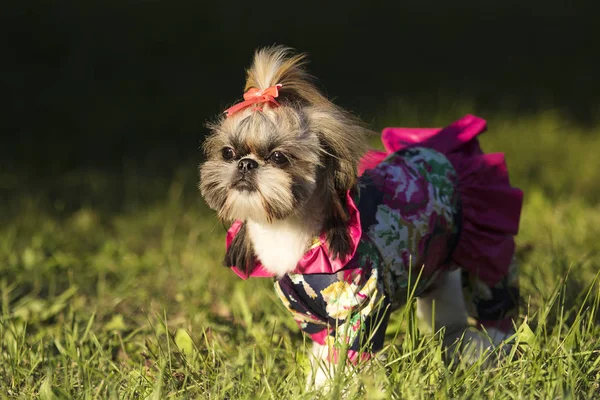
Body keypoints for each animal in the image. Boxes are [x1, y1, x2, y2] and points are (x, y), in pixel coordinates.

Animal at [199, 46, 524, 388]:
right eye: (228, 153)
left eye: (278, 157)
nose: (246, 163)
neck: (295, 236)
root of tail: (442, 150)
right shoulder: (313, 319)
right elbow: (323, 354)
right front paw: (315, 386)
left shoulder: (361, 307)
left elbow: (349, 354)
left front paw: (339, 388)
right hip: (436, 273)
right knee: (449, 317)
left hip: (488, 250)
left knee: (495, 304)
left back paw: (494, 348)